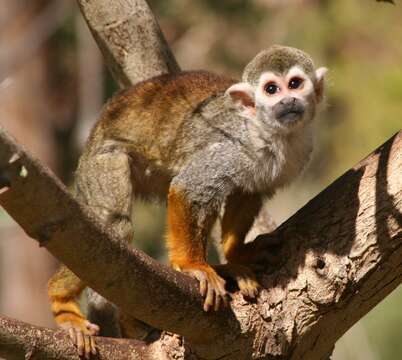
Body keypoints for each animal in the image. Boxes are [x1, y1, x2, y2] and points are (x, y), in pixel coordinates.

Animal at [47, 45, 326, 358]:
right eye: (271, 89)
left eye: (295, 83)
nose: (288, 100)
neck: (274, 134)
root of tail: (97, 127)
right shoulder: (233, 148)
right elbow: (188, 188)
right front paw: (192, 265)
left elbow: (246, 193)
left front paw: (236, 254)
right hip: (103, 161)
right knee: (114, 227)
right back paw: (61, 303)